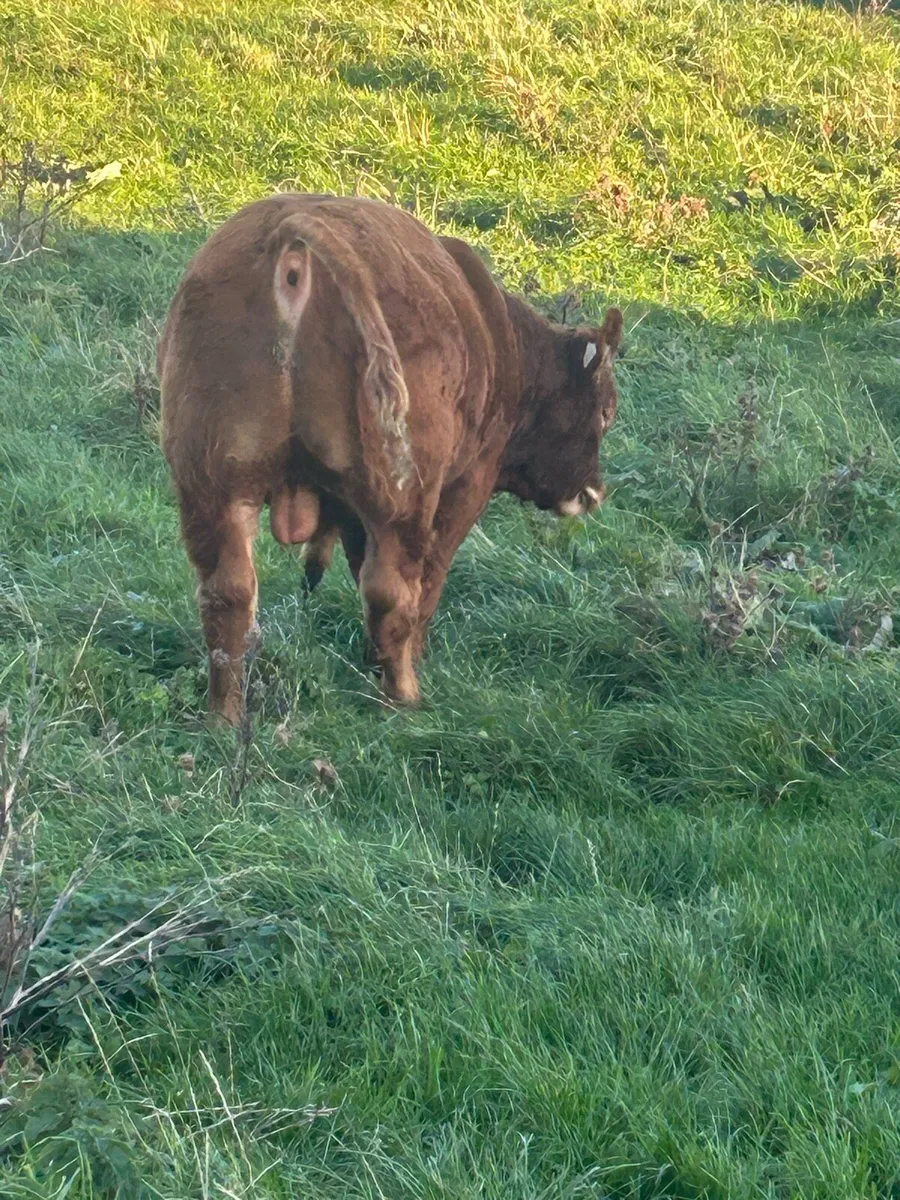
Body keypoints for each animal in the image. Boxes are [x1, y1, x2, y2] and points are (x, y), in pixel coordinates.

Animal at [158, 193, 622, 724]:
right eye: (606, 411)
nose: (593, 492)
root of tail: (291, 234)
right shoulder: (465, 486)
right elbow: (429, 578)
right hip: (403, 496)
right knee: (392, 591)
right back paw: (403, 694)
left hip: (211, 483)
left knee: (227, 594)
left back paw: (225, 715)